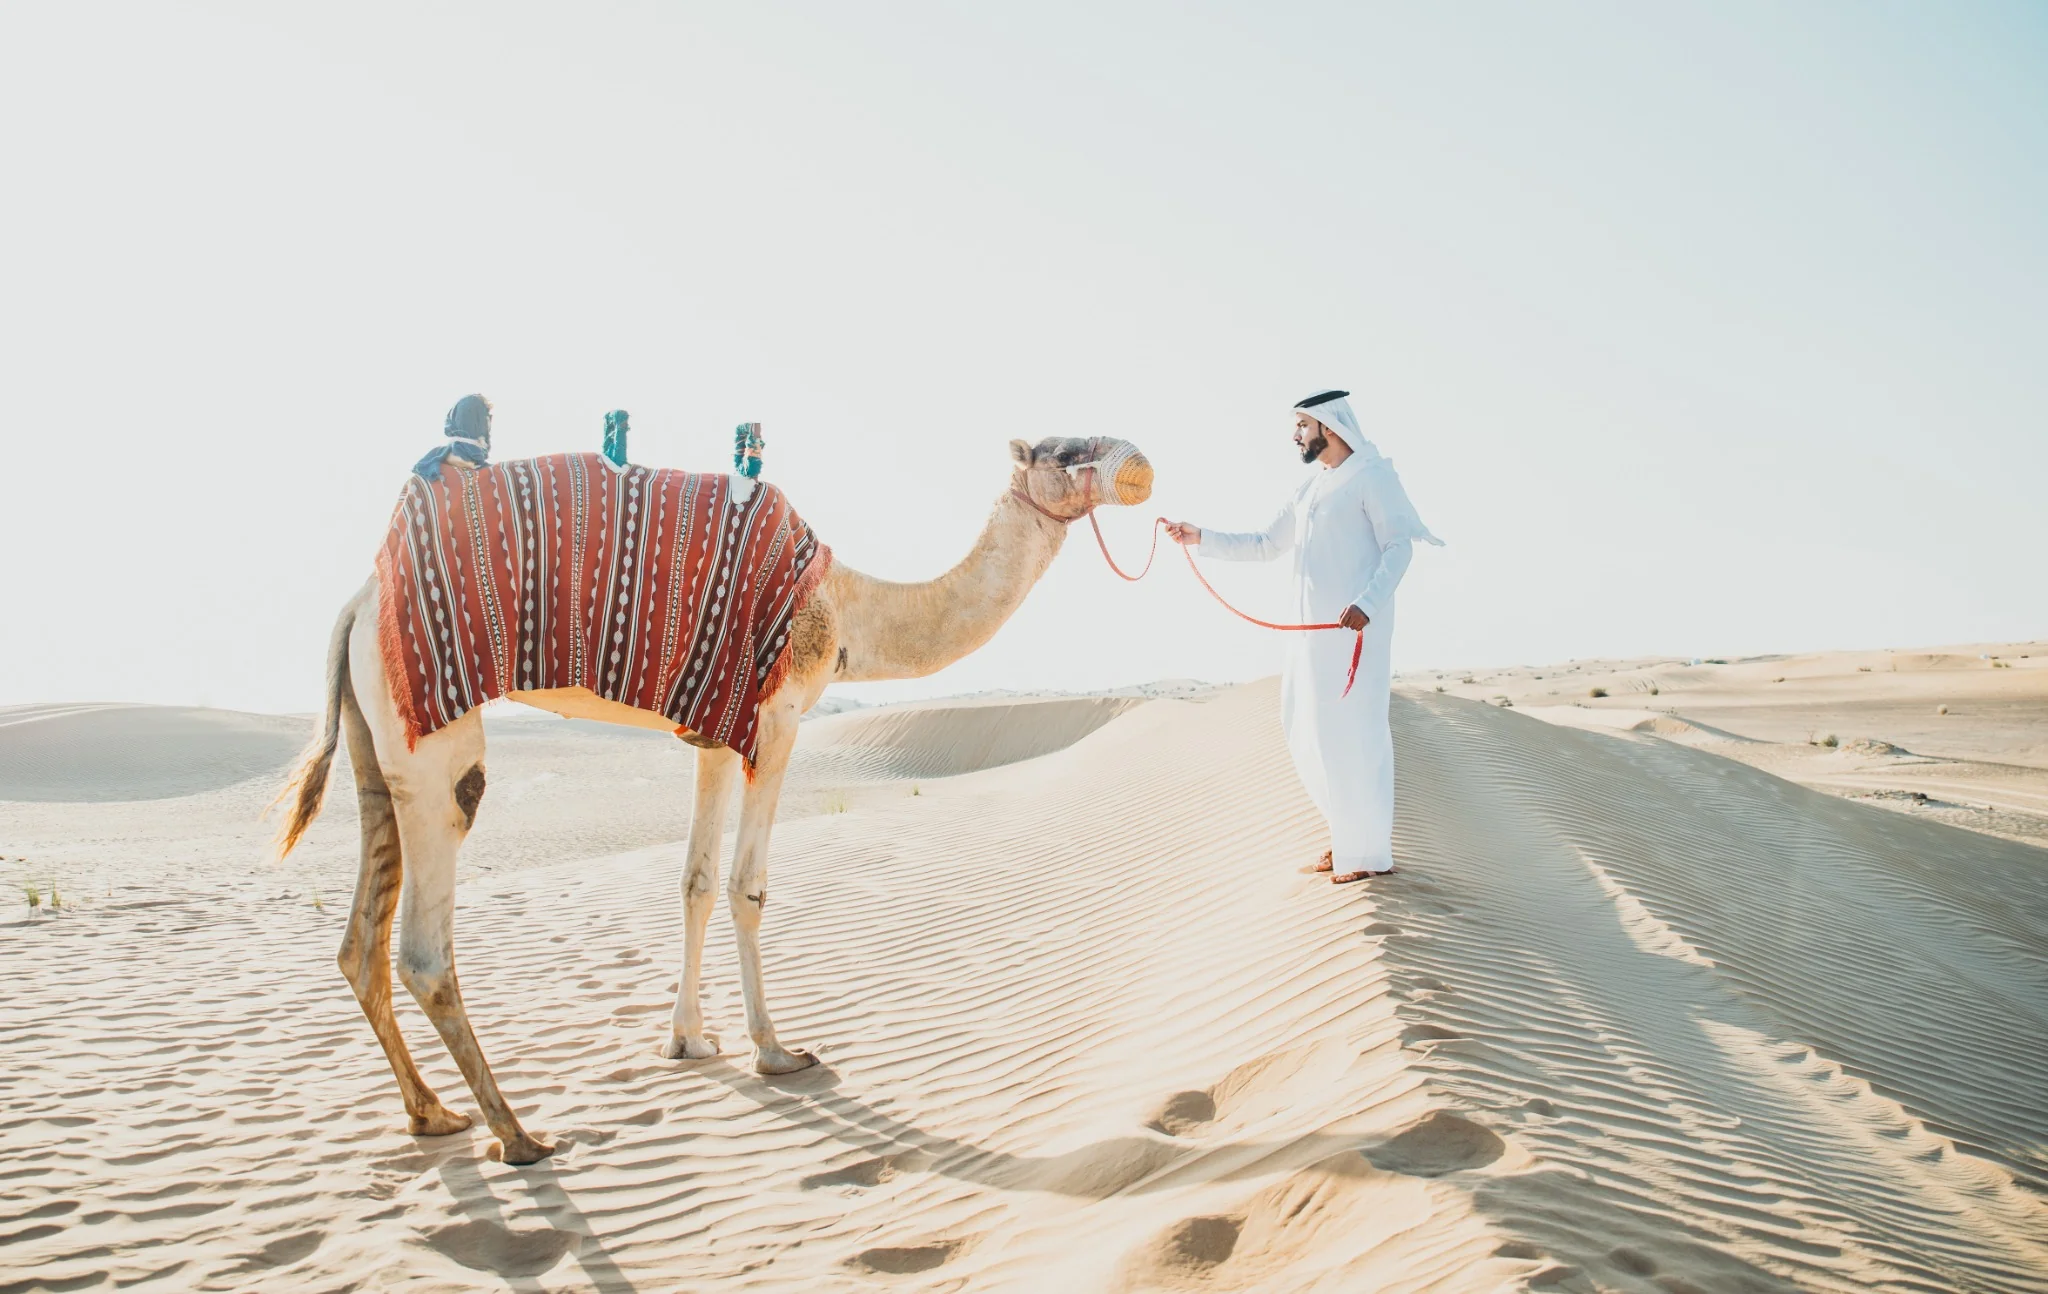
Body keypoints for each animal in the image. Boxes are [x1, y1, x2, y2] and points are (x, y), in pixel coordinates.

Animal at [274, 435, 1153, 1163]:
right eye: (1067, 451)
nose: (1138, 462)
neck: (849, 609)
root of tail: (357, 603)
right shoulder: (778, 718)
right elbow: (745, 887)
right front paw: (776, 1051)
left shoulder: (715, 735)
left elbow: (694, 883)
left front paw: (688, 1041)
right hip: (434, 732)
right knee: (425, 941)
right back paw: (518, 1135)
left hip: (374, 736)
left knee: (359, 938)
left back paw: (433, 1114)